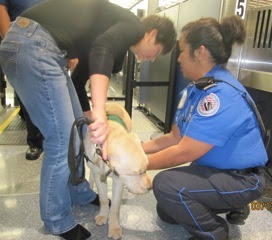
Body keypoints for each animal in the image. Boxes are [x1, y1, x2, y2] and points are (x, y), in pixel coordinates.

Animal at [84, 102, 152, 239]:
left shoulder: (119, 180)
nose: (150, 187)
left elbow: (115, 206)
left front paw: (114, 228)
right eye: (137, 173)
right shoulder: (99, 175)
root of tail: (114, 102)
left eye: (147, 168)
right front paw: (103, 216)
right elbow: (103, 199)